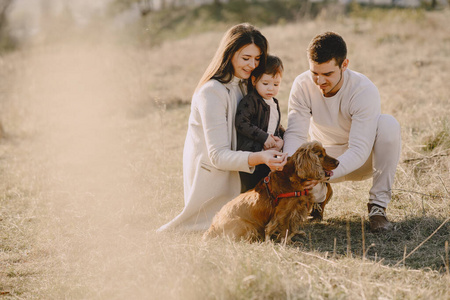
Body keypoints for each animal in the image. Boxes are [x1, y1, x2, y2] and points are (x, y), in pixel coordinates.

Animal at [202, 141, 340, 244]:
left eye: (325, 152)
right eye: (320, 155)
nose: (338, 162)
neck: (293, 178)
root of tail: (212, 227)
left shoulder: (297, 209)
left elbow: (292, 228)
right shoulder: (283, 212)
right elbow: (285, 228)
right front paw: (286, 243)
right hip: (248, 226)